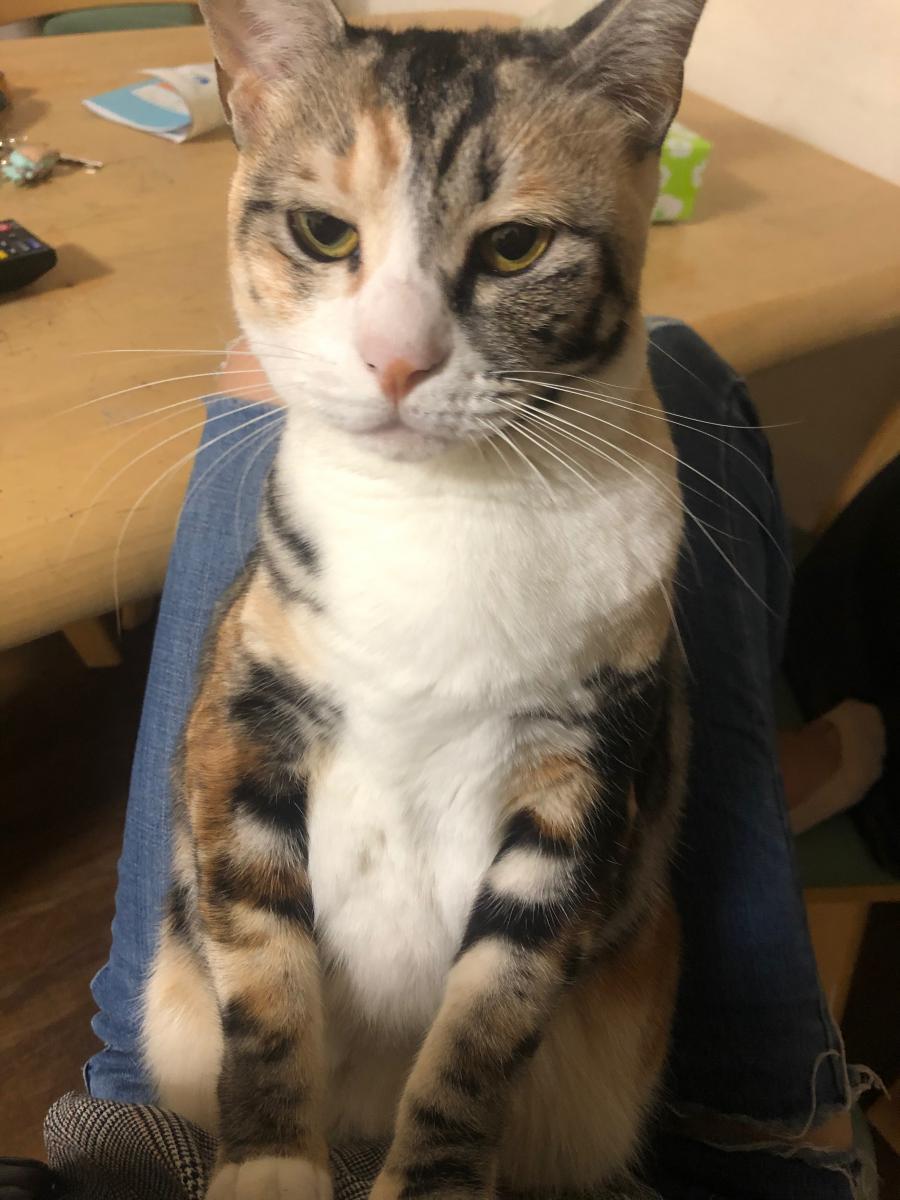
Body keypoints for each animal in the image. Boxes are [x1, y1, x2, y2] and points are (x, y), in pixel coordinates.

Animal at [142, 1, 705, 1197]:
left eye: (515, 245)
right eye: (322, 233)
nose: (397, 359)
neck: (443, 511)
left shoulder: (587, 774)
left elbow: (491, 1012)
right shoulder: (242, 716)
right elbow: (262, 965)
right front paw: (269, 1164)